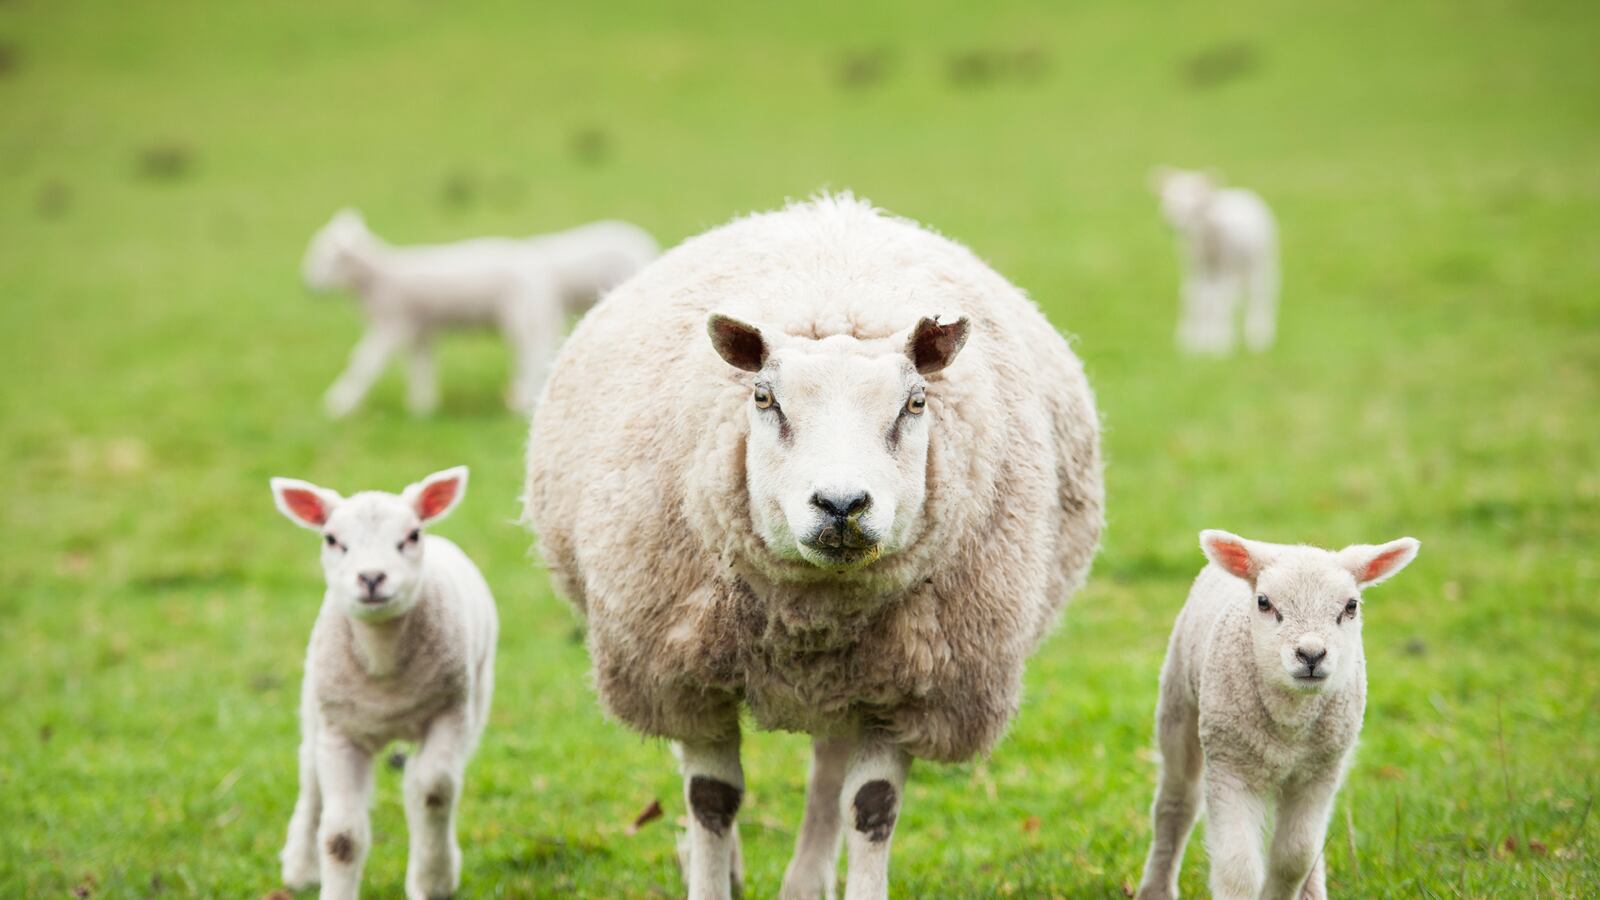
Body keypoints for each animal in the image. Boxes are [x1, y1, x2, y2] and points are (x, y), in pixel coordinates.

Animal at [271, 466, 497, 900]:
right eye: (331, 539)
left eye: (412, 535)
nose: (372, 577)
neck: (385, 671)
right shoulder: (339, 732)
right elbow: (341, 837)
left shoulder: (451, 711)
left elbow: (433, 791)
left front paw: (432, 879)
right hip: (314, 706)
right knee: (310, 781)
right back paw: (300, 866)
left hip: (477, 696)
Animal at [304, 209, 659, 417]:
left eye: (326, 257)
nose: (308, 286)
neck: (382, 278)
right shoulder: (421, 329)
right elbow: (420, 367)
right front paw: (422, 406)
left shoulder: (393, 323)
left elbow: (364, 364)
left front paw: (338, 404)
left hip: (521, 315)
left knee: (533, 354)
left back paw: (523, 401)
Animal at [522, 193, 1104, 899]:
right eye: (764, 398)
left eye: (915, 402)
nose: (842, 505)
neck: (813, 616)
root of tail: (829, 208)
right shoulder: (687, 672)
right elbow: (712, 797)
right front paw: (709, 874)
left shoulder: (910, 682)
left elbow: (873, 805)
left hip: (854, 679)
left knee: (829, 769)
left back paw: (806, 877)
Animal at [1135, 530, 1421, 900]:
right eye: (1263, 602)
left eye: (1351, 606)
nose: (1311, 654)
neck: (1290, 724)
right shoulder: (1229, 766)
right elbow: (1238, 868)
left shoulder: (1320, 774)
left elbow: (1295, 857)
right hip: (1179, 706)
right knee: (1176, 804)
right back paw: (1156, 888)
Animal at [1151, 167, 1279, 355]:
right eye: (1167, 197)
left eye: (1196, 203)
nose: (1171, 223)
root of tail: (1243, 192)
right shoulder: (1195, 268)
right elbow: (1194, 298)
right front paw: (1191, 343)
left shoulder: (1224, 267)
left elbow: (1217, 302)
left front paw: (1217, 346)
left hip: (1261, 262)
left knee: (1260, 295)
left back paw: (1258, 337)